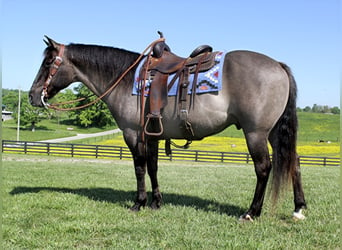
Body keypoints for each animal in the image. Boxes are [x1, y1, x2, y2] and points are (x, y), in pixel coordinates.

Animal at [28, 35, 308, 221]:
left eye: (47, 63)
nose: (32, 96)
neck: (126, 80)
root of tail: (277, 65)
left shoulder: (133, 134)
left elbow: (139, 168)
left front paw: (139, 203)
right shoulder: (152, 136)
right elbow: (153, 167)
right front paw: (156, 202)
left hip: (256, 134)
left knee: (263, 168)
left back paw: (251, 212)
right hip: (274, 133)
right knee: (294, 163)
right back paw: (298, 208)